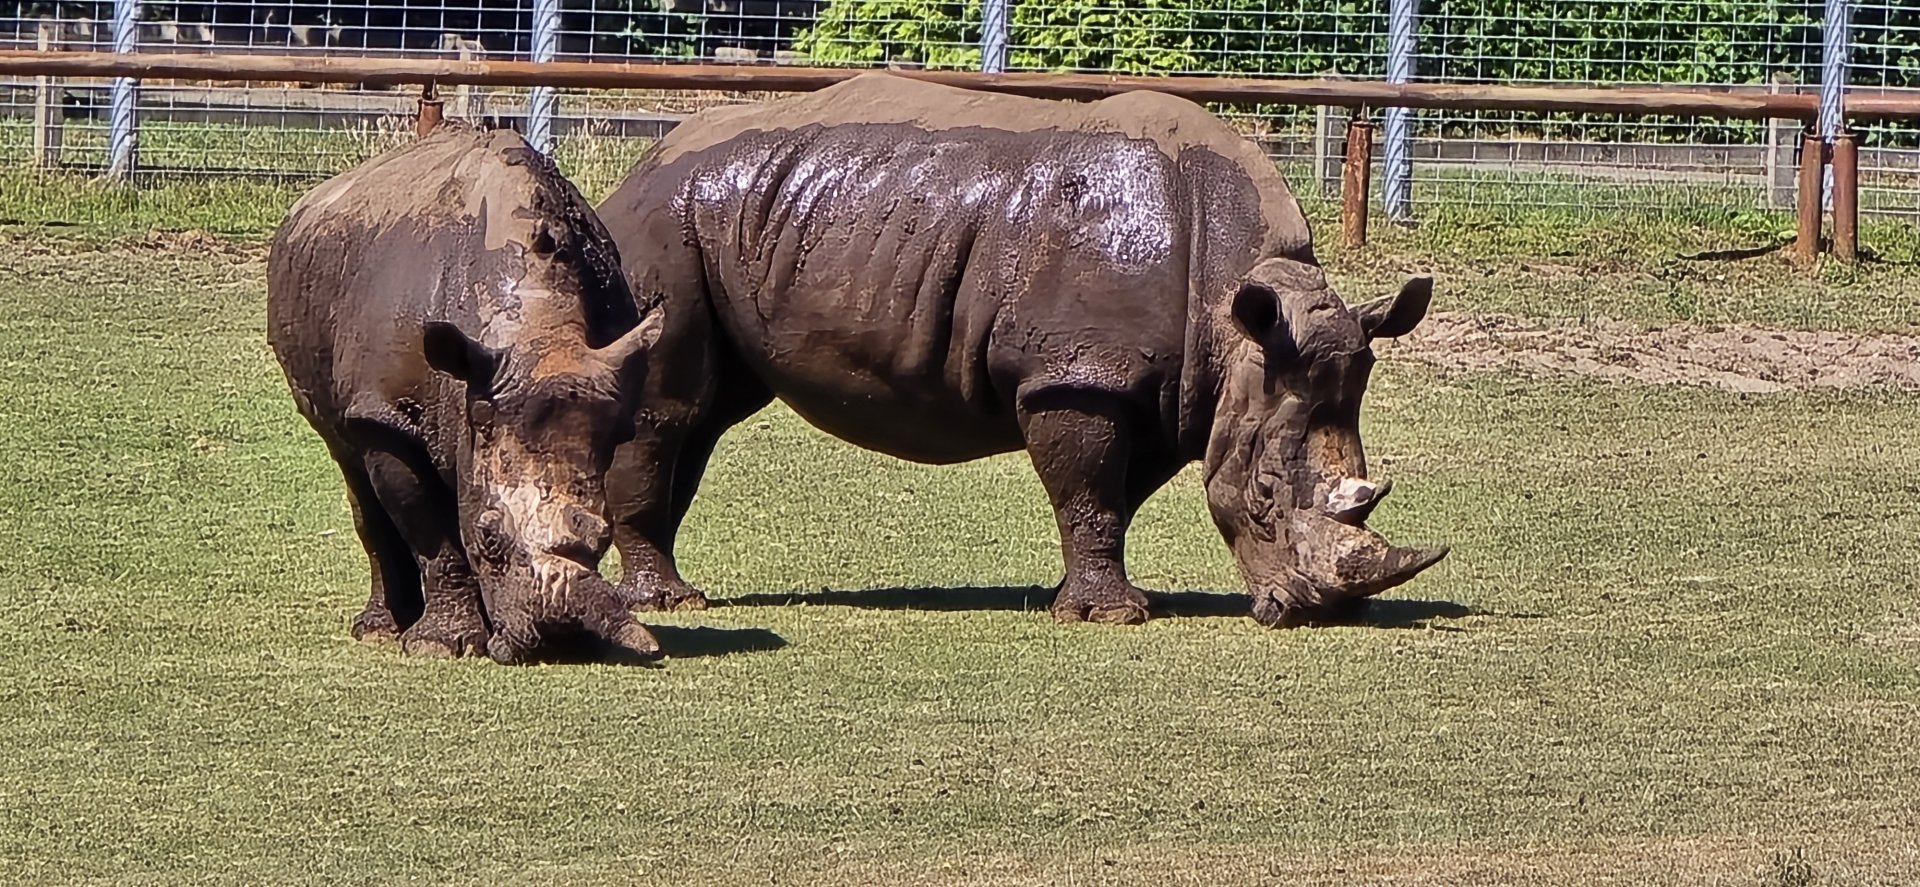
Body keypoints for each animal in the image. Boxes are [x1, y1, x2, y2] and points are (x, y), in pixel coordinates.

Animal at [268, 126, 666, 662]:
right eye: (489, 537)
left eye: (605, 537)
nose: (559, 638)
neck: (536, 327)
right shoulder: (387, 417)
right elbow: (431, 533)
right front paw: (439, 646)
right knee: (350, 462)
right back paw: (380, 631)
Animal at [597, 73, 1447, 627]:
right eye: (1266, 494)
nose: (1313, 613)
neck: (1237, 319)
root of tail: (637, 170)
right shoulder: (1076, 375)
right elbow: (1090, 491)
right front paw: (1111, 617)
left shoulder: (1164, 389)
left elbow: (1112, 498)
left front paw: (1097, 599)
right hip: (665, 220)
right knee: (672, 408)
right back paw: (670, 600)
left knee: (707, 414)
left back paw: (674, 588)